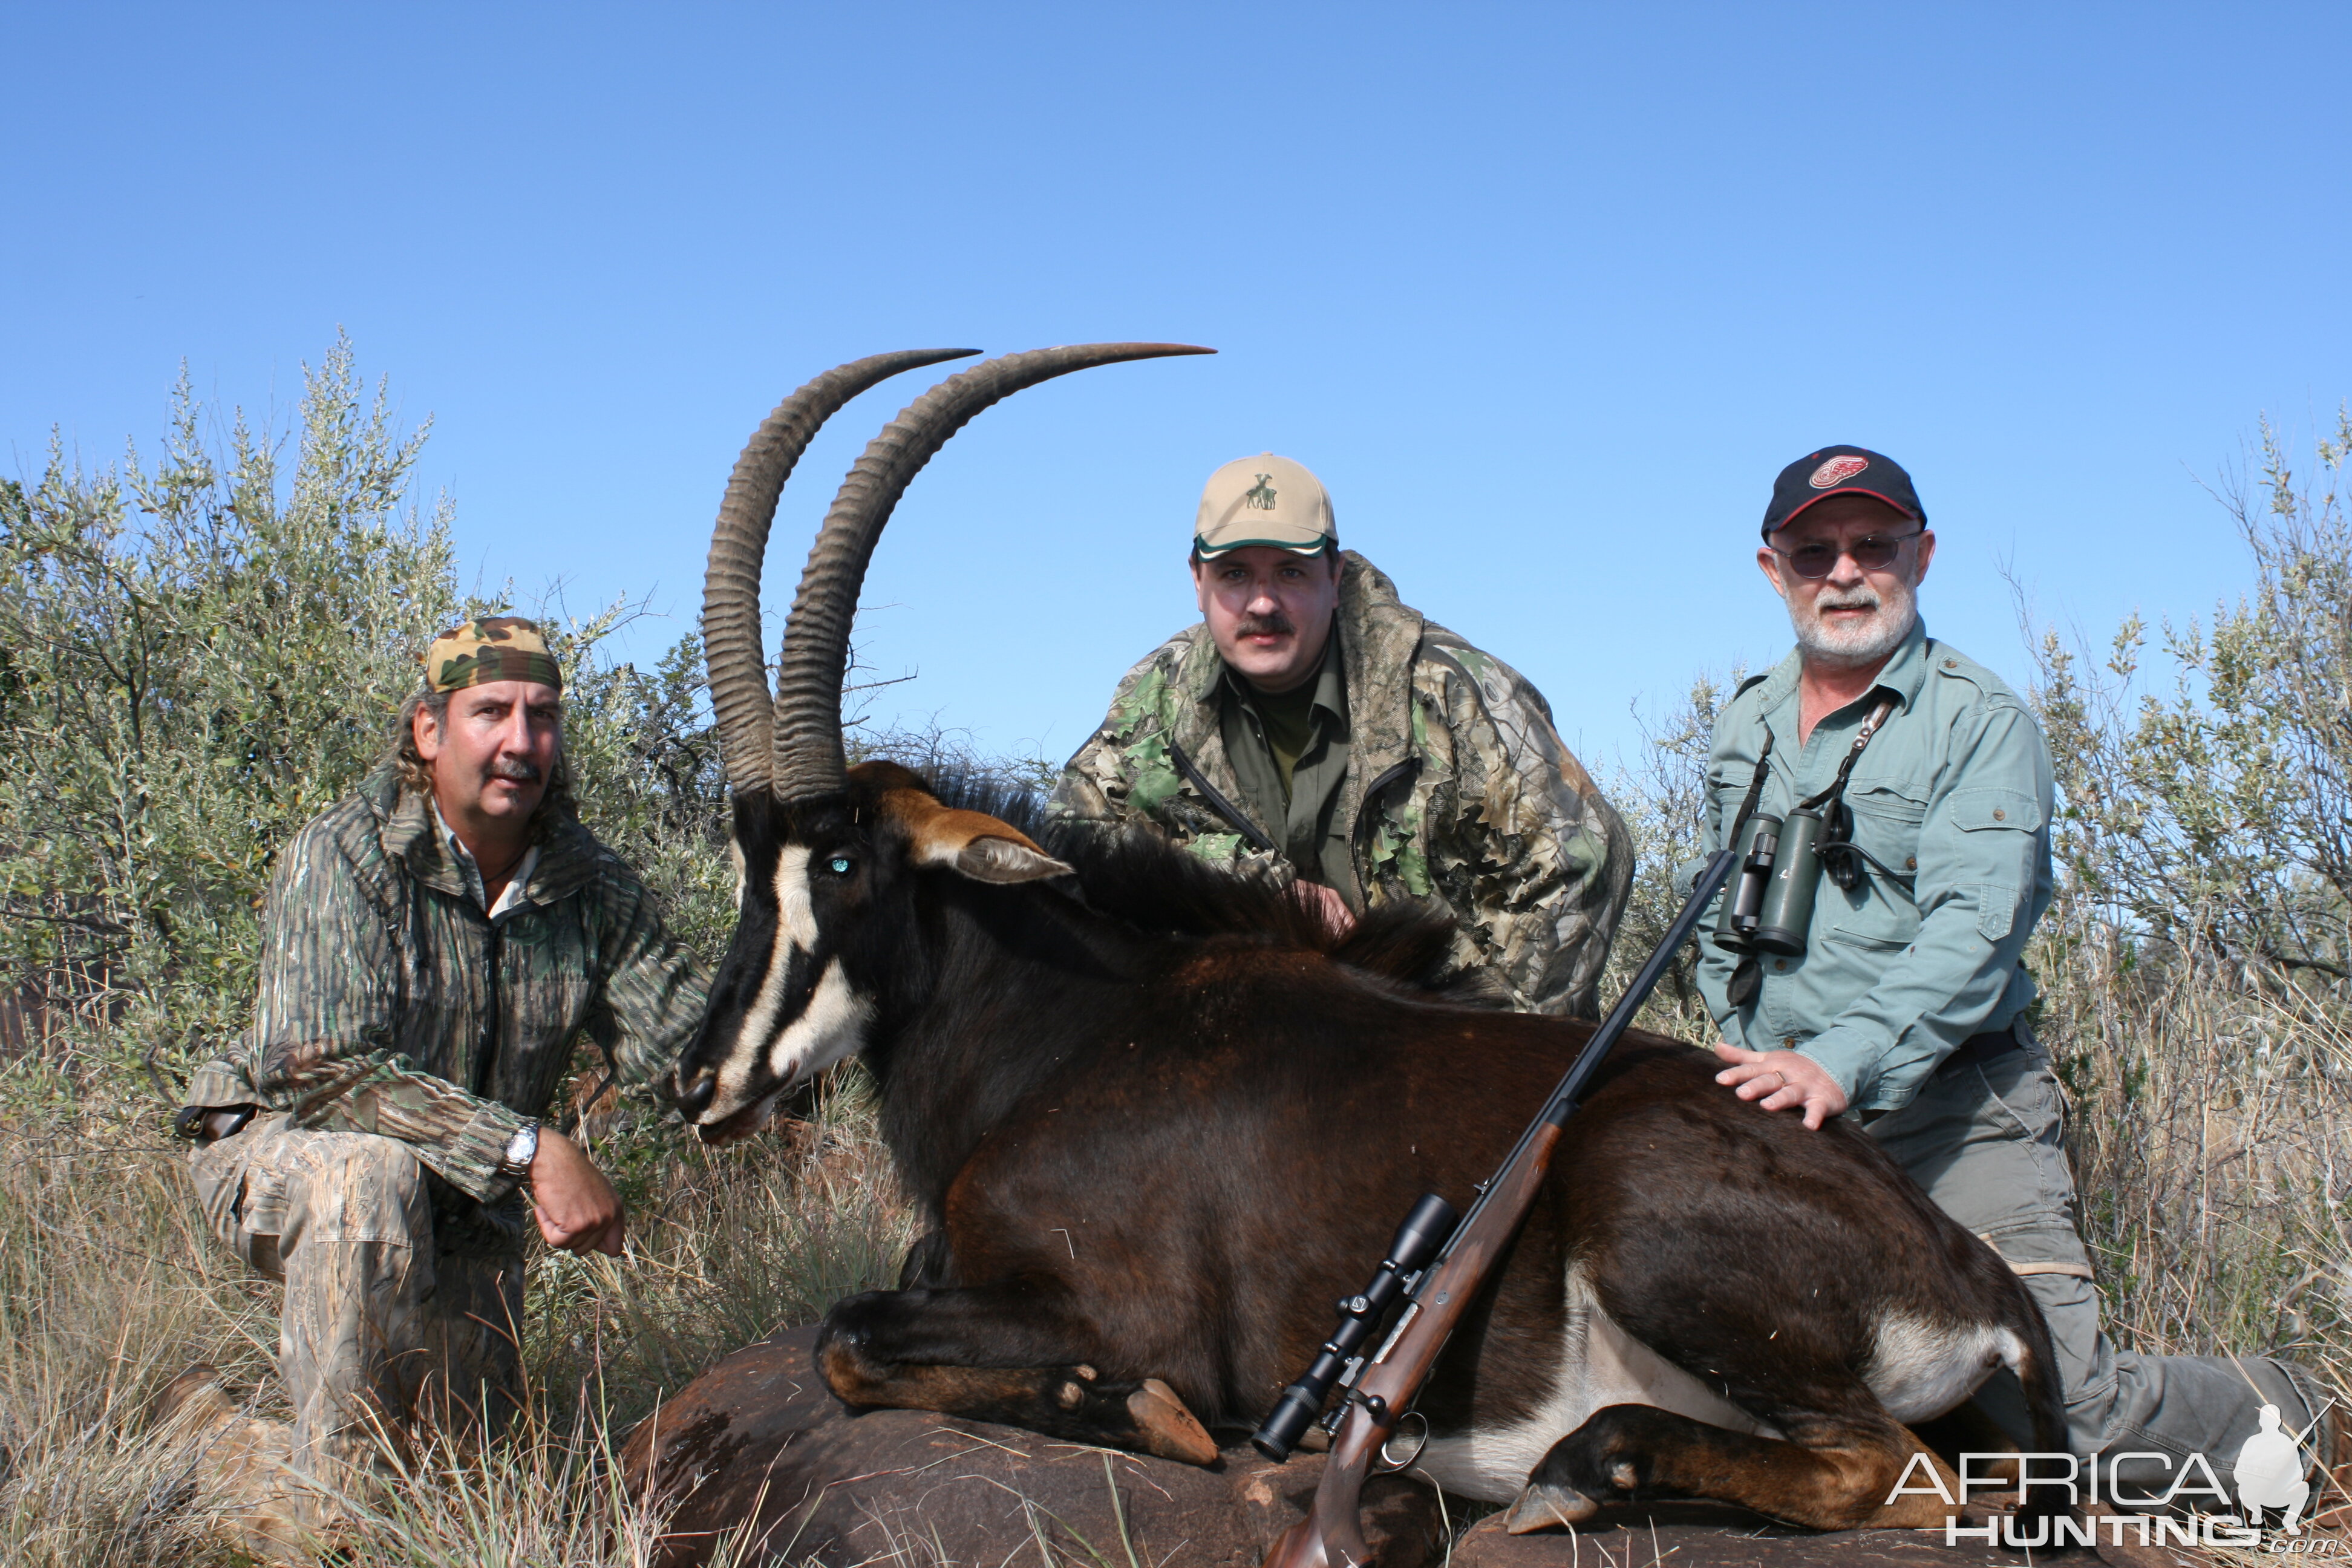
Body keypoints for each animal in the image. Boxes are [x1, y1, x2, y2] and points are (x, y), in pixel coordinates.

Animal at [672, 350, 2069, 1542]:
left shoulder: (1121, 1310)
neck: (1069, 1032)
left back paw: (1577, 1468)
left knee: (1892, 1472)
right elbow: (854, 1324)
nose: (698, 1082)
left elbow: (850, 1337)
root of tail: (1981, 1278)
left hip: (1646, 1215)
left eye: (841, 862)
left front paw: (1140, 1412)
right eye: (749, 859)